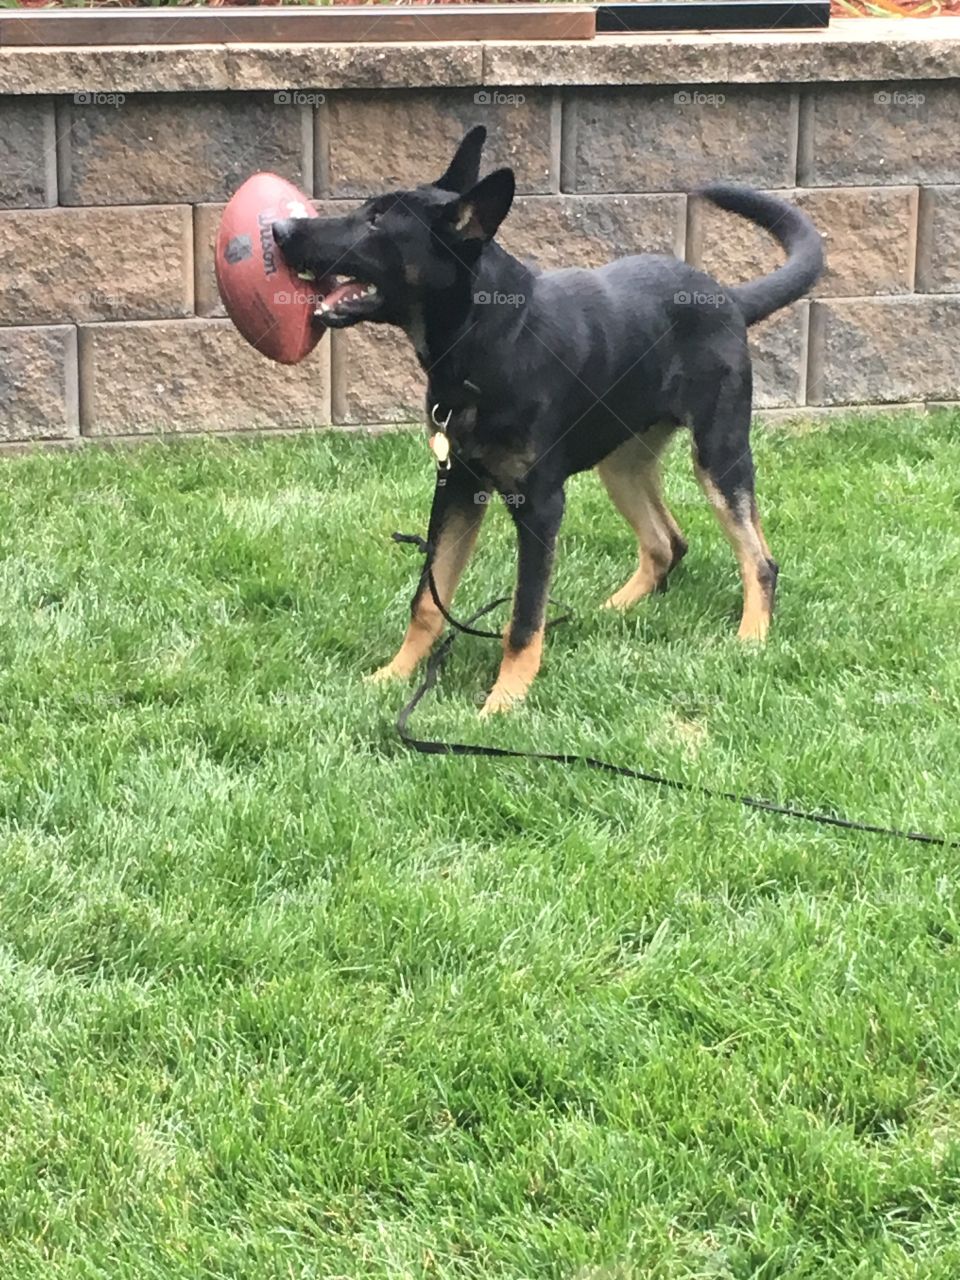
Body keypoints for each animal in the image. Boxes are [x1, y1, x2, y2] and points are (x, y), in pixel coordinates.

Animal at [272, 128, 829, 716]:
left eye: (377, 221)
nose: (279, 230)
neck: (487, 341)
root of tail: (729, 298)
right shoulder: (457, 488)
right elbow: (428, 596)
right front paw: (392, 676)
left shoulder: (539, 505)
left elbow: (524, 616)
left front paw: (503, 702)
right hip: (622, 464)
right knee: (667, 542)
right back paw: (615, 609)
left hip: (718, 454)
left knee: (759, 559)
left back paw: (751, 637)